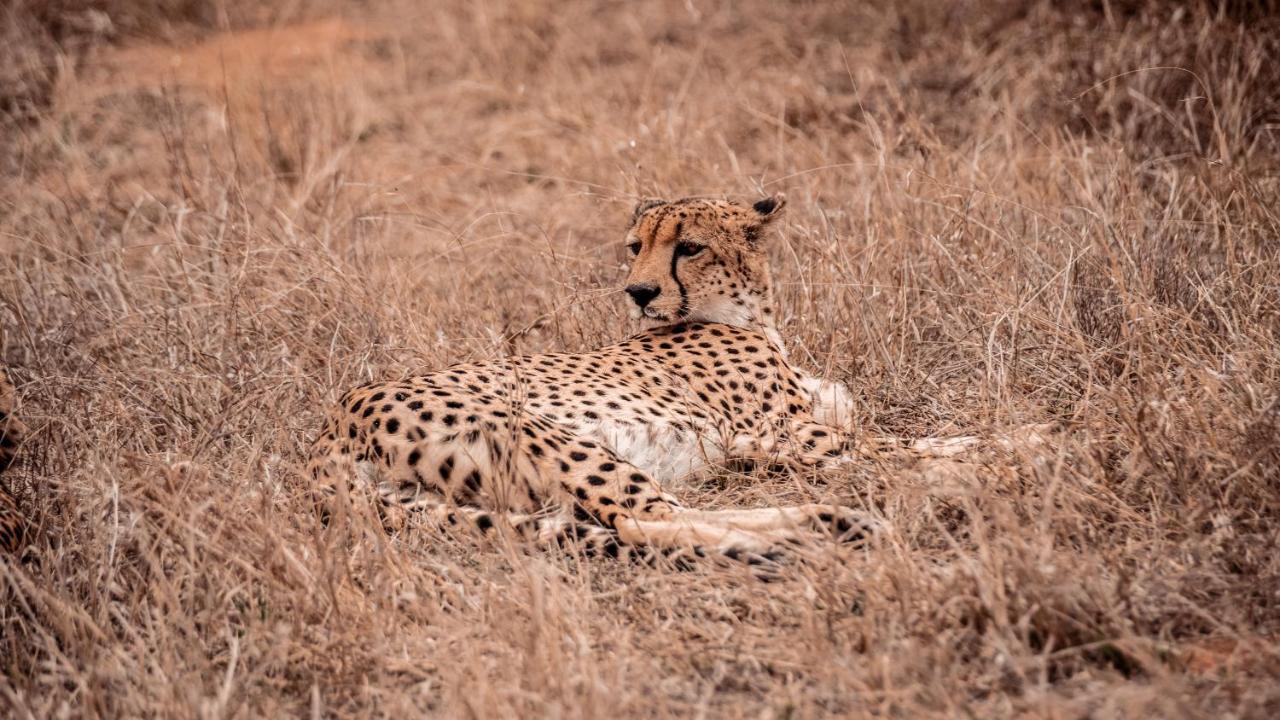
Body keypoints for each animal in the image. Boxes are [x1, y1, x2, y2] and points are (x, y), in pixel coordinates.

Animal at [309, 196, 977, 566]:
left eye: (690, 248)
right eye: (635, 247)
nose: (638, 292)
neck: (746, 314)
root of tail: (327, 431)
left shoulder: (781, 437)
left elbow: (908, 441)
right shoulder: (776, 434)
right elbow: (905, 446)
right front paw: (992, 458)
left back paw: (825, 526)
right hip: (554, 438)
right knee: (642, 520)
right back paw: (816, 530)